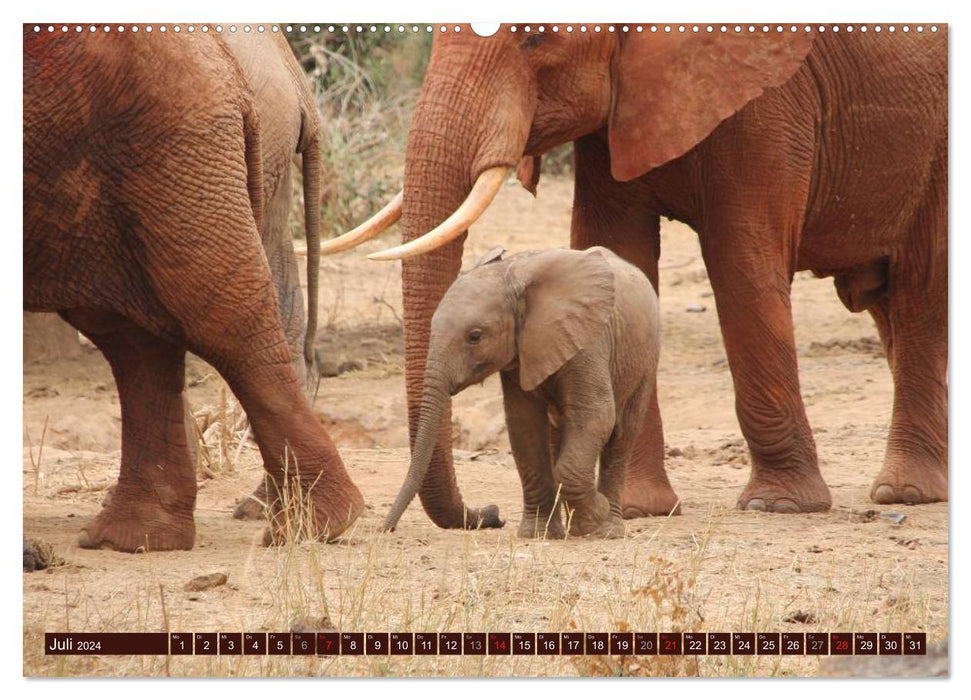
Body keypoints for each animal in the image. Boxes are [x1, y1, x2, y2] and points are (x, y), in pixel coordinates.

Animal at [384, 243, 664, 540]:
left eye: (475, 336)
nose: (494, 513)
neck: (513, 276)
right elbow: (524, 425)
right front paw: (537, 534)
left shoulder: (588, 341)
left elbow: (595, 415)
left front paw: (593, 518)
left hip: (645, 358)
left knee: (621, 432)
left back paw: (606, 530)